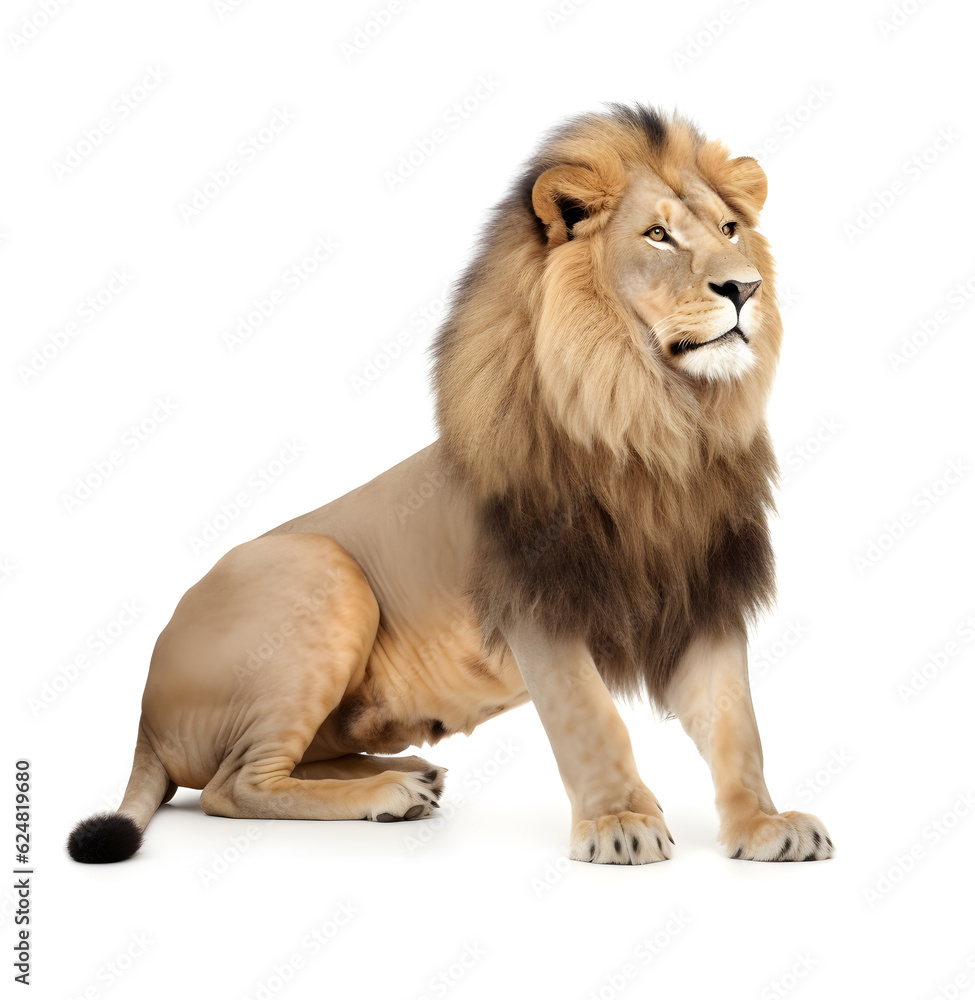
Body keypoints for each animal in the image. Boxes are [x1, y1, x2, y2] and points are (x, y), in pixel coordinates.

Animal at [68, 104, 833, 865]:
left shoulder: (707, 589)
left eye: (729, 230)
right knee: (234, 786)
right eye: (657, 234)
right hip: (323, 570)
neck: (661, 425)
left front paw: (765, 825)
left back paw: (407, 773)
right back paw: (387, 793)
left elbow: (738, 726)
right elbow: (589, 718)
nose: (745, 288)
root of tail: (143, 717)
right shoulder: (538, 601)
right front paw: (619, 822)